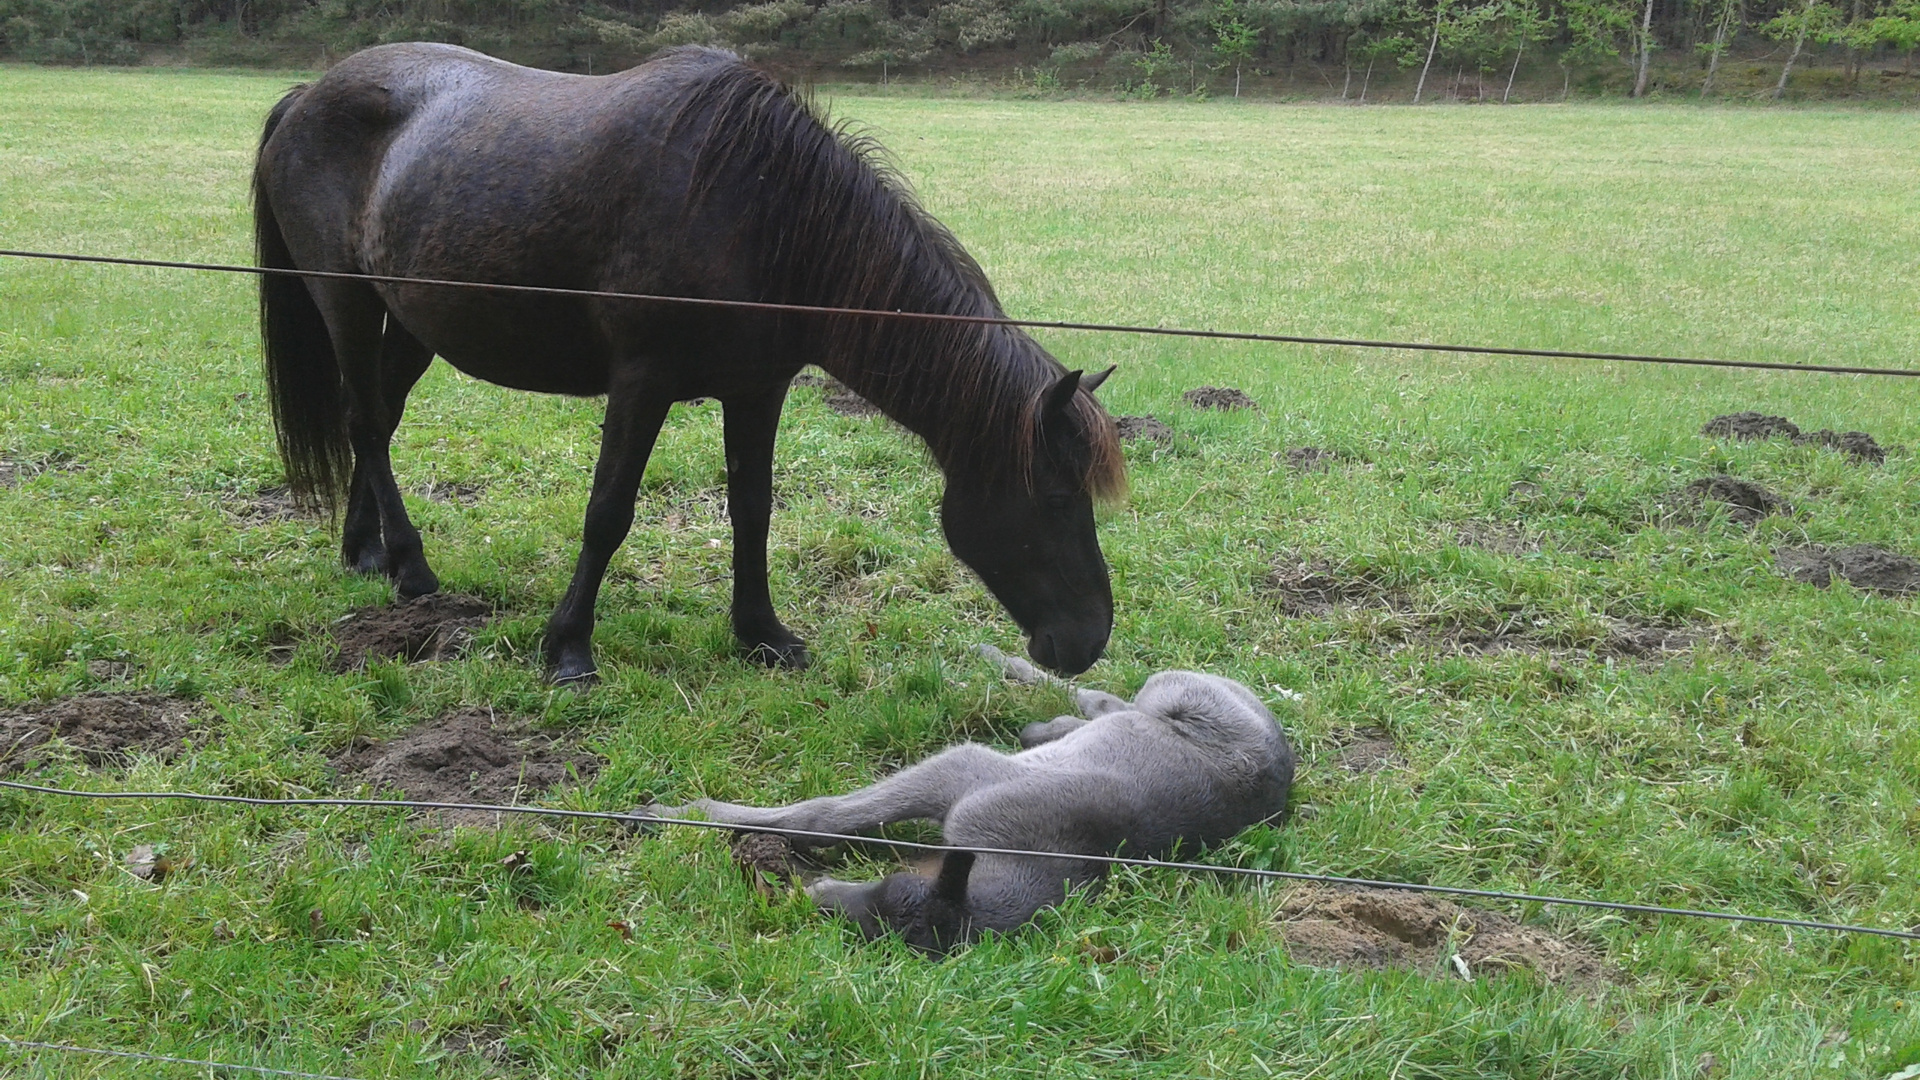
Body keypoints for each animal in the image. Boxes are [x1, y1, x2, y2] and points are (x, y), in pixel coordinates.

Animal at [255, 46, 1121, 680]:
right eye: (1054, 496)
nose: (1089, 641)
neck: (763, 213)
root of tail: (308, 93)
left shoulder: (758, 391)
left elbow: (753, 509)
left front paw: (763, 633)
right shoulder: (642, 382)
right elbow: (608, 512)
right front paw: (569, 647)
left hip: (412, 320)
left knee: (374, 421)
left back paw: (365, 552)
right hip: (346, 301)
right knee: (366, 420)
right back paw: (410, 566)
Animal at [637, 641, 1297, 945]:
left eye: (886, 904)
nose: (815, 897)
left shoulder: (963, 777)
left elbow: (822, 818)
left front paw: (681, 812)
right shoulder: (963, 775)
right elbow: (826, 814)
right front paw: (675, 811)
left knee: (1106, 704)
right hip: (1175, 691)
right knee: (1104, 696)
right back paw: (1014, 675)